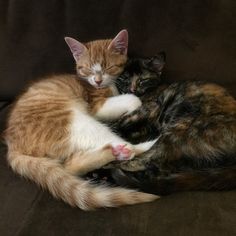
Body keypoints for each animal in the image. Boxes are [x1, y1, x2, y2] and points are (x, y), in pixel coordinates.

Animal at [4, 30, 159, 210]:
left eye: (109, 67)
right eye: (87, 69)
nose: (98, 81)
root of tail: (12, 146)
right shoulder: (96, 106)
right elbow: (133, 100)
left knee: (70, 166)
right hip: (76, 121)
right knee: (124, 147)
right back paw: (133, 147)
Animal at [106, 54, 236, 195]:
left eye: (143, 80)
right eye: (125, 78)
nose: (132, 89)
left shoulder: (150, 109)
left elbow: (119, 123)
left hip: (181, 129)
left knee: (144, 161)